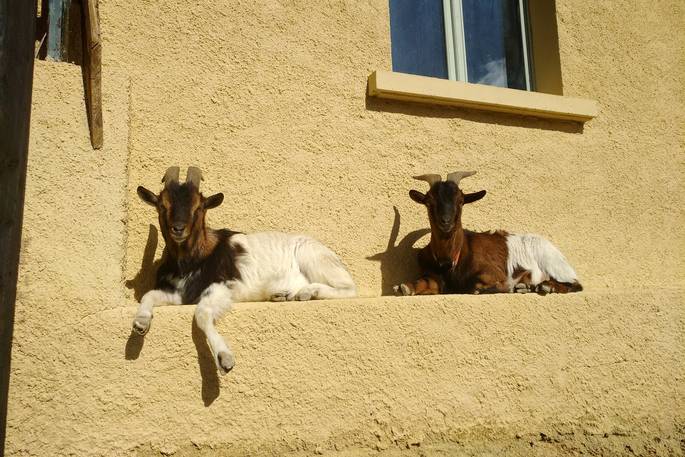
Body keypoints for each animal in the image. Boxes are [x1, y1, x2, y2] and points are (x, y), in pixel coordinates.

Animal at [134, 166, 358, 372]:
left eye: (199, 207)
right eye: (162, 205)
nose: (178, 229)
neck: (192, 260)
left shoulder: (221, 286)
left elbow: (202, 313)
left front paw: (224, 358)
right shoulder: (181, 294)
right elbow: (149, 295)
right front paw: (140, 323)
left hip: (313, 257)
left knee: (349, 288)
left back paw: (308, 292)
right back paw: (282, 294)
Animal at [392, 171, 580, 296]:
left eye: (461, 201)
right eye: (429, 202)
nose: (446, 222)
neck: (452, 258)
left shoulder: (493, 273)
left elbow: (476, 286)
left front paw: (508, 287)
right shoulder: (434, 276)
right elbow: (423, 283)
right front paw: (403, 287)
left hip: (554, 265)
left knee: (575, 284)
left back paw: (546, 286)